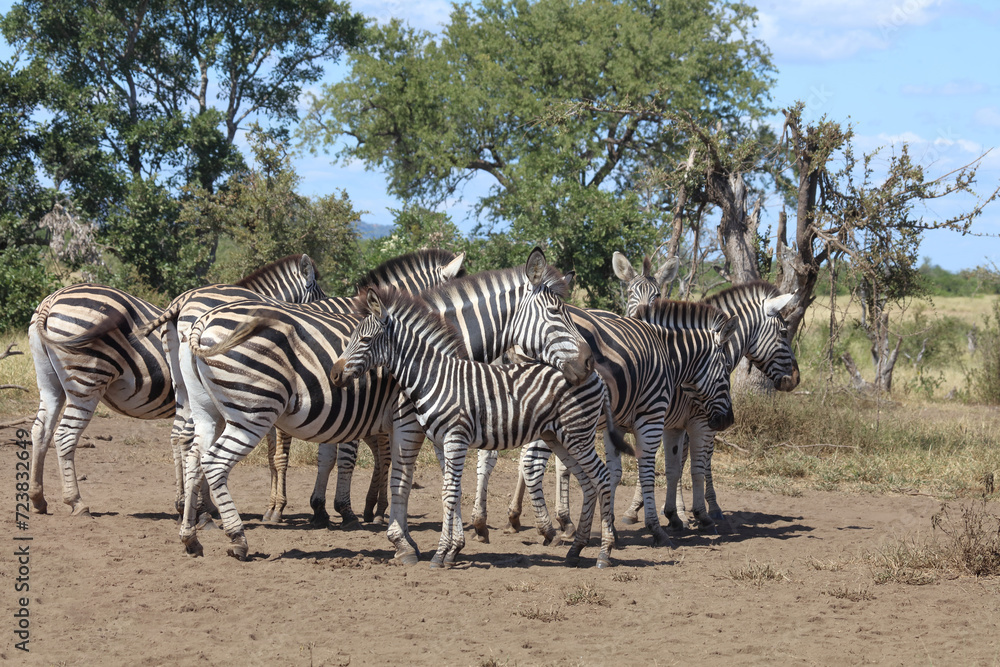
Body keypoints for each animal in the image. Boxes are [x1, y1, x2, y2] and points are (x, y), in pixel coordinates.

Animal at [28, 284, 174, 517]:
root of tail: (51, 300)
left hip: (49, 382)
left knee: (40, 431)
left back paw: (38, 499)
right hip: (86, 381)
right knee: (65, 435)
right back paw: (76, 502)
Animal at [177, 247, 591, 561]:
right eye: (557, 313)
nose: (588, 363)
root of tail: (203, 321)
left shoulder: (433, 423)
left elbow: (439, 477)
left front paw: (441, 540)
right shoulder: (409, 420)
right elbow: (403, 479)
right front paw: (404, 541)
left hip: (210, 412)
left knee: (194, 457)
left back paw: (192, 533)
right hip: (253, 412)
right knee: (215, 462)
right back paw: (237, 537)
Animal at [330, 286, 626, 568]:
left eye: (365, 340)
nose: (334, 374)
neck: (433, 376)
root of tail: (593, 374)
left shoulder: (456, 438)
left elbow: (449, 493)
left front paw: (441, 554)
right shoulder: (441, 441)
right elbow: (450, 491)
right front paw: (452, 550)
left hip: (578, 436)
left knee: (601, 478)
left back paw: (604, 553)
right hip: (560, 438)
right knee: (588, 484)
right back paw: (575, 550)